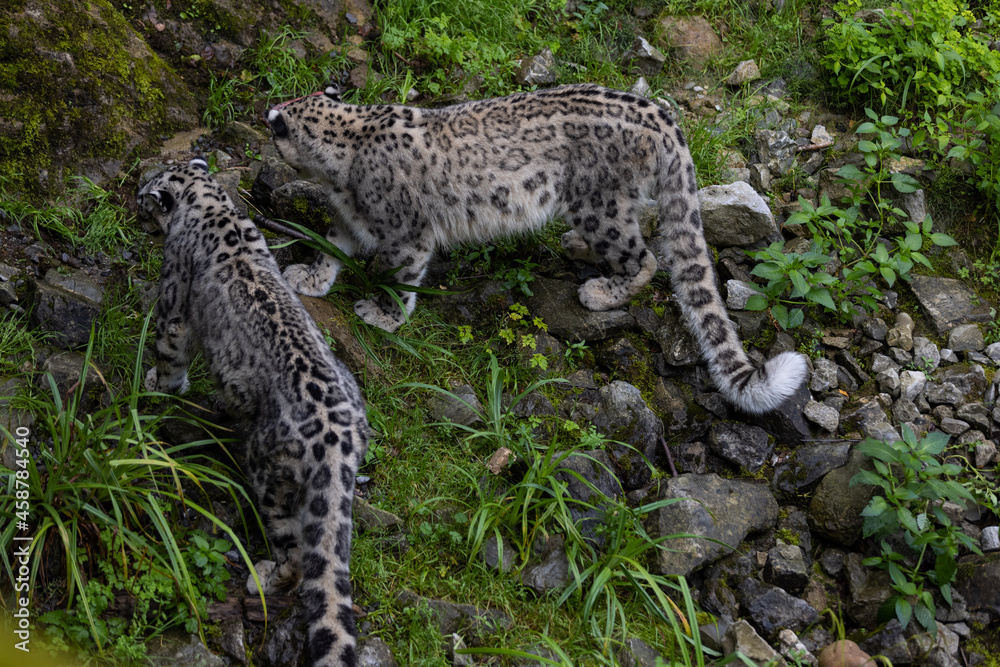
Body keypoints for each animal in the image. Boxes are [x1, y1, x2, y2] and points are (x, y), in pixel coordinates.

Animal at [138, 157, 367, 667]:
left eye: (146, 192)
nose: (135, 200)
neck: (210, 204)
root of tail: (339, 435)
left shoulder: (173, 300)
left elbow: (170, 350)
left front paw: (158, 385)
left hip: (269, 470)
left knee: (296, 551)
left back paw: (263, 573)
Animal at [265, 83, 807, 414]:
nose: (266, 118)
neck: (340, 172)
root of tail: (664, 118)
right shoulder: (348, 219)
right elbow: (329, 247)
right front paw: (310, 278)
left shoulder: (407, 233)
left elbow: (400, 277)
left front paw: (382, 314)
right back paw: (577, 248)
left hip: (599, 204)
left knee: (647, 256)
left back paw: (601, 290)